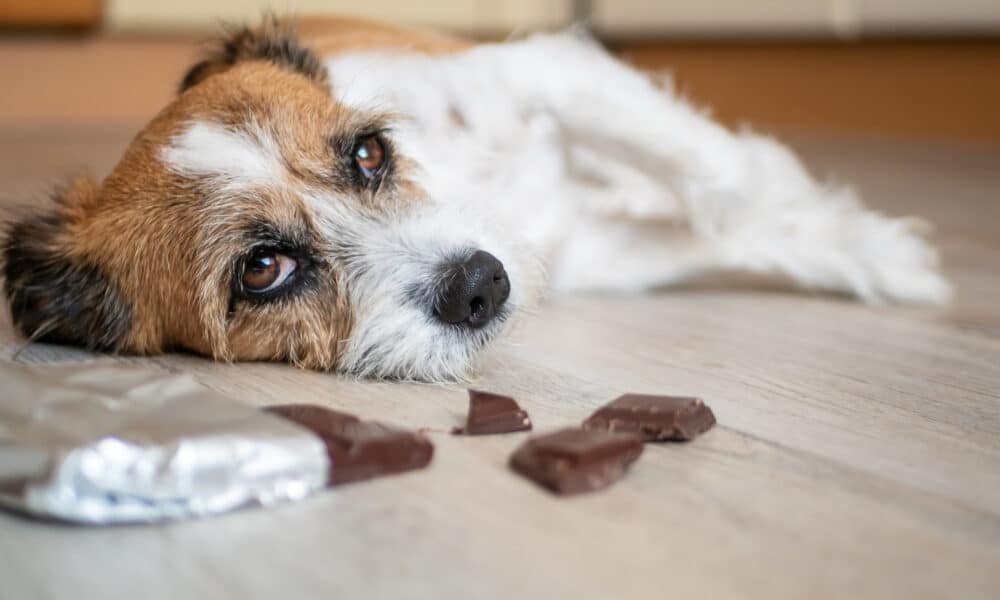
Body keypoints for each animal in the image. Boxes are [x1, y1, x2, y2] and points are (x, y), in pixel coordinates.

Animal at [1, 16, 952, 380]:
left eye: (370, 153)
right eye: (261, 269)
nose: (481, 285)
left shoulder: (546, 72)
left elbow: (722, 180)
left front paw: (872, 249)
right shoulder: (597, 256)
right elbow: (719, 225)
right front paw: (860, 246)